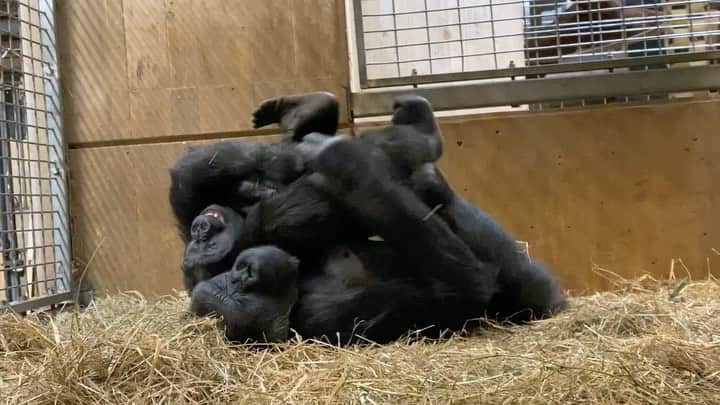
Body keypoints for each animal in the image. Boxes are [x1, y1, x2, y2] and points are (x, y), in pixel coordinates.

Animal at [169, 92, 568, 344]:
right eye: (232, 291)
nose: (243, 272)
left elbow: (191, 178)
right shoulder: (324, 314)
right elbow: (464, 288)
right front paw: (341, 161)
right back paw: (418, 138)